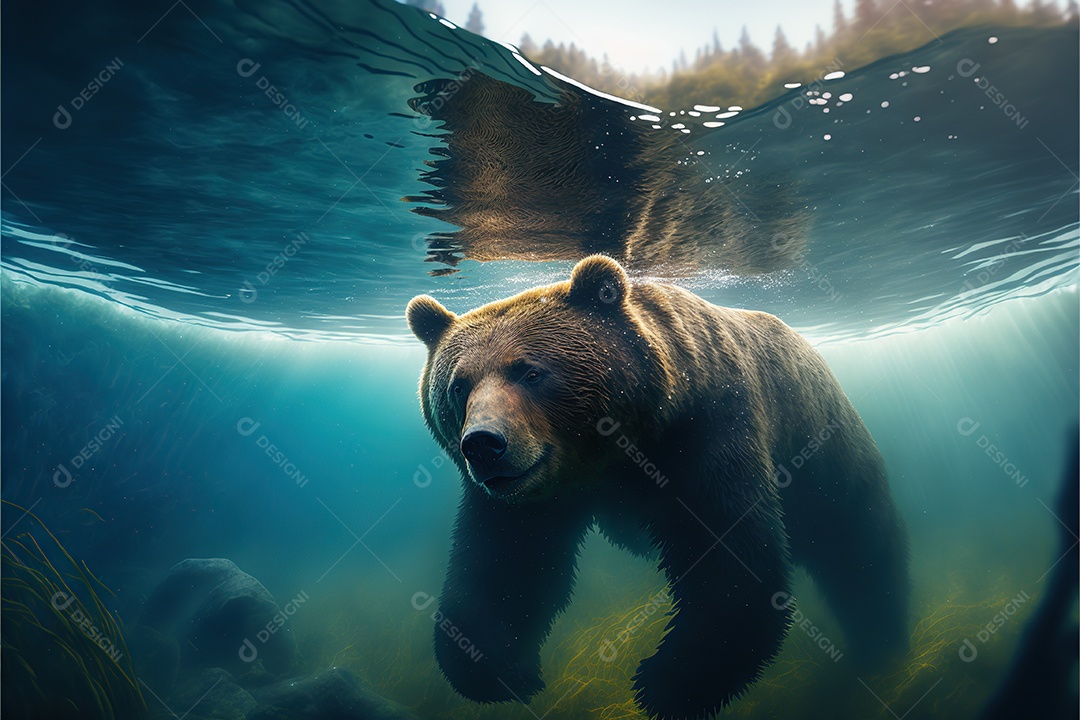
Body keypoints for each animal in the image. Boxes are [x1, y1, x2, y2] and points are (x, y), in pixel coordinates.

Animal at [406, 255, 909, 719]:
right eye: (458, 385)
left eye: (530, 372)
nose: (484, 444)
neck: (611, 454)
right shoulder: (530, 496)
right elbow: (503, 566)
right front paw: (500, 669)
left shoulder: (705, 433)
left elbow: (731, 555)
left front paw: (670, 680)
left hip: (823, 454)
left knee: (858, 546)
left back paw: (878, 646)